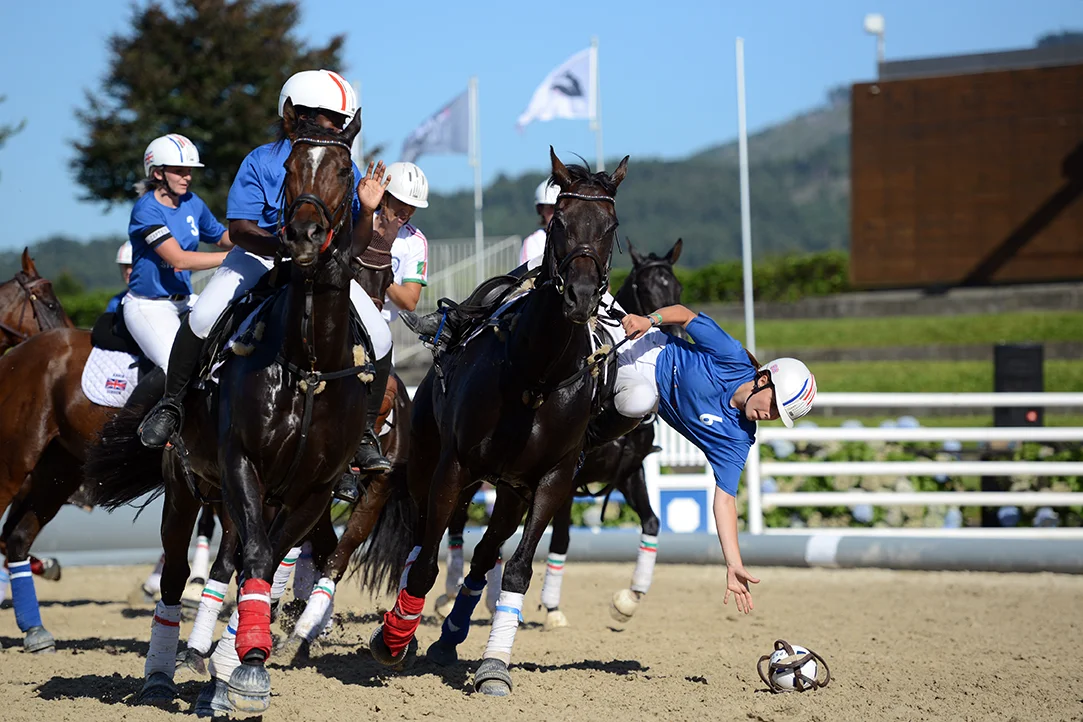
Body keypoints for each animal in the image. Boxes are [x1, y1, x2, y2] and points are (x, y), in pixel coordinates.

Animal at [86, 103, 378, 715]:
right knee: (177, 575)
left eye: (346, 170)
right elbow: (257, 562)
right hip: (185, 489)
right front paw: (244, 670)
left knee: (231, 563)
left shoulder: (312, 490)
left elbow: (261, 565)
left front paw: (237, 671)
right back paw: (159, 675)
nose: (304, 234)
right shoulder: (243, 463)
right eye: (289, 167)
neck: (307, 362)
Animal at [362, 147, 629, 697]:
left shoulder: (551, 479)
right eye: (559, 223)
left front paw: (494, 666)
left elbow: (518, 570)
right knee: (420, 542)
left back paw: (450, 637)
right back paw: (405, 634)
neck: (536, 375)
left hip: (510, 490)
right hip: (427, 465)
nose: (581, 295)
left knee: (485, 556)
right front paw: (392, 642)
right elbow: (424, 566)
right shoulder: (455, 468)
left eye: (611, 226)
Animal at [435, 238, 685, 629]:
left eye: (677, 288)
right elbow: (562, 539)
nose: (674, 344)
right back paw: (450, 596)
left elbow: (652, 523)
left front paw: (629, 599)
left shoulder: (629, 472)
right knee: (458, 521)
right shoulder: (567, 479)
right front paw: (552, 608)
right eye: (645, 289)